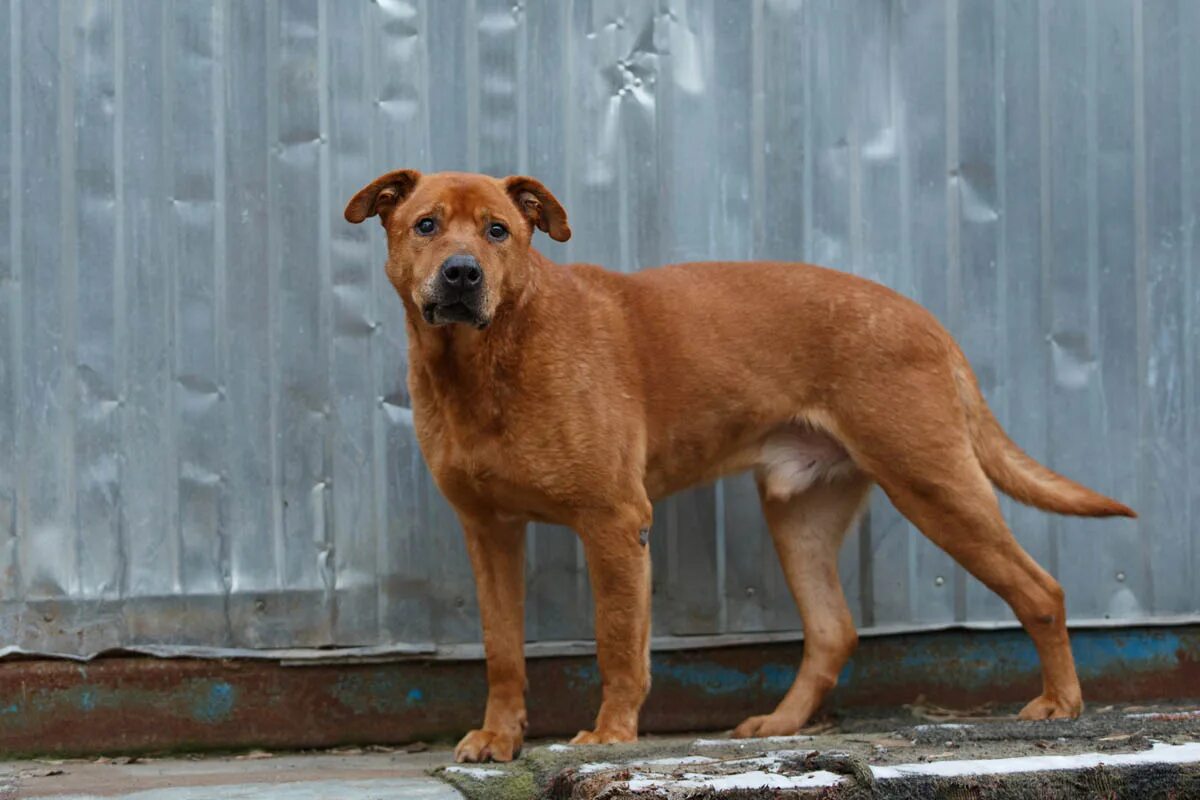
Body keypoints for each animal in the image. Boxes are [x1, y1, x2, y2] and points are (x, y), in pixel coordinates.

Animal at [345, 169, 1132, 762]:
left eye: (498, 231)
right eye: (426, 225)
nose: (461, 274)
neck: (480, 364)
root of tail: (925, 318)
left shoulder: (613, 521)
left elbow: (617, 643)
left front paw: (611, 736)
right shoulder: (489, 532)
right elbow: (503, 650)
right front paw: (498, 738)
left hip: (935, 485)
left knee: (1040, 589)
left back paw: (1060, 703)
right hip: (800, 515)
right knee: (833, 630)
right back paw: (780, 726)